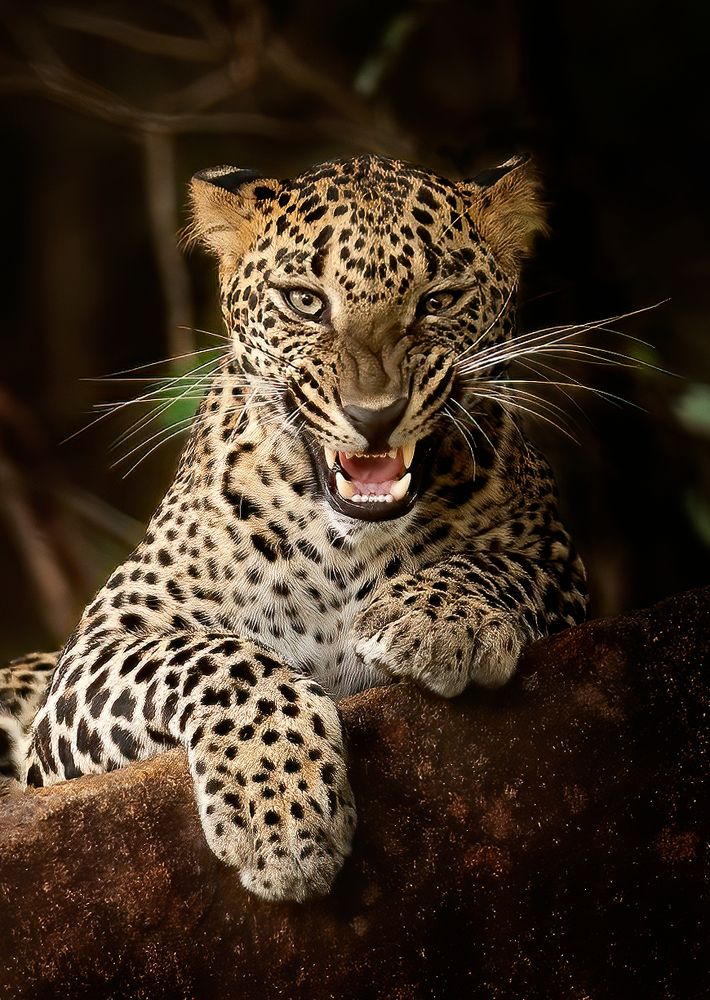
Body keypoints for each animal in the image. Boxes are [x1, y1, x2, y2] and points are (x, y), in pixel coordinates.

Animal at [0, 153, 587, 901]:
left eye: (438, 301)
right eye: (306, 301)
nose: (375, 415)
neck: (348, 547)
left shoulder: (560, 561)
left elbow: (502, 563)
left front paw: (437, 618)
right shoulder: (94, 651)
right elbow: (218, 655)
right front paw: (279, 813)